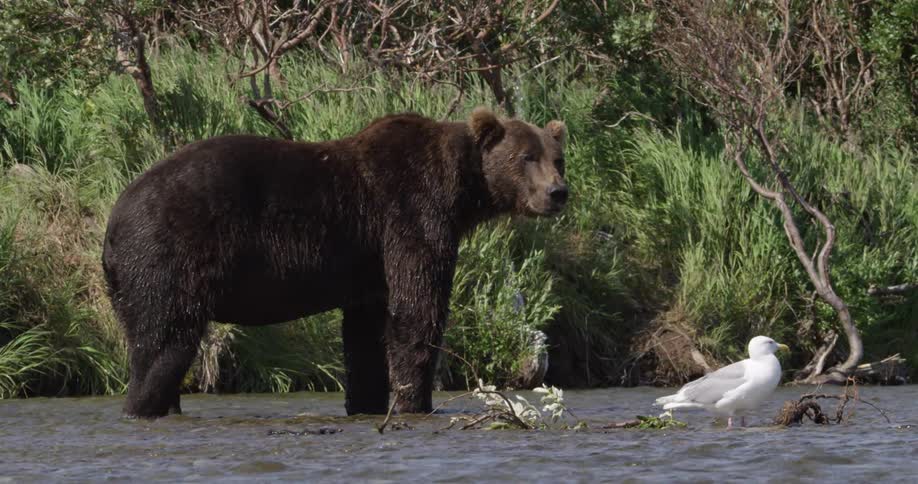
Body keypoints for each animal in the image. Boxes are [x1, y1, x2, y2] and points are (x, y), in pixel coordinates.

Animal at [101, 107, 568, 418]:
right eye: (526, 156)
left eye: (557, 158)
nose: (558, 192)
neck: (461, 189)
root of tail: (114, 217)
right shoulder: (411, 211)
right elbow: (418, 305)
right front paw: (414, 401)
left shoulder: (369, 263)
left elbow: (367, 333)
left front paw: (367, 402)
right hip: (168, 257)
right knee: (164, 343)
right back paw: (141, 405)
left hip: (130, 281)